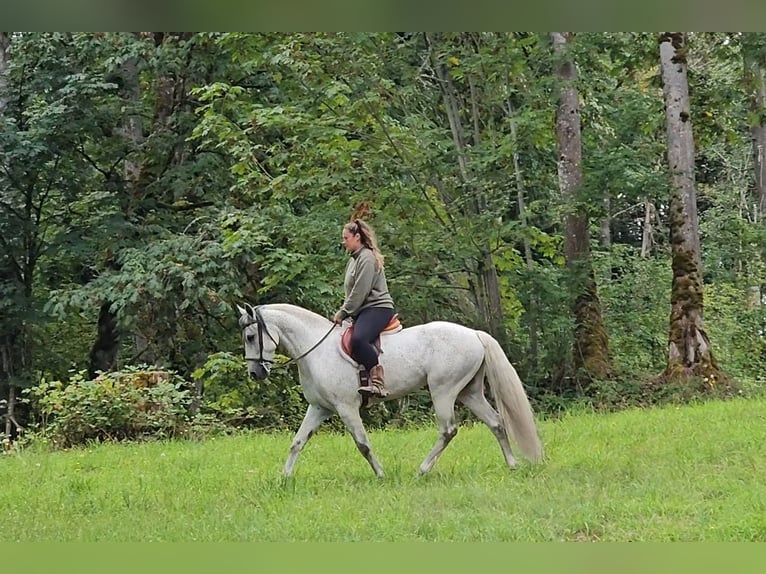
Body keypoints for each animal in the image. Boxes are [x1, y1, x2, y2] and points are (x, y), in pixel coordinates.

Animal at [237, 304, 544, 480]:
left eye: (251, 336)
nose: (255, 374)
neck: (317, 349)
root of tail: (474, 334)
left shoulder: (346, 408)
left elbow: (363, 444)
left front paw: (381, 475)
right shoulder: (320, 408)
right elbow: (297, 442)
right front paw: (285, 477)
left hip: (443, 391)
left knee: (448, 430)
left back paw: (422, 470)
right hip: (469, 392)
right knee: (495, 422)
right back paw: (512, 464)